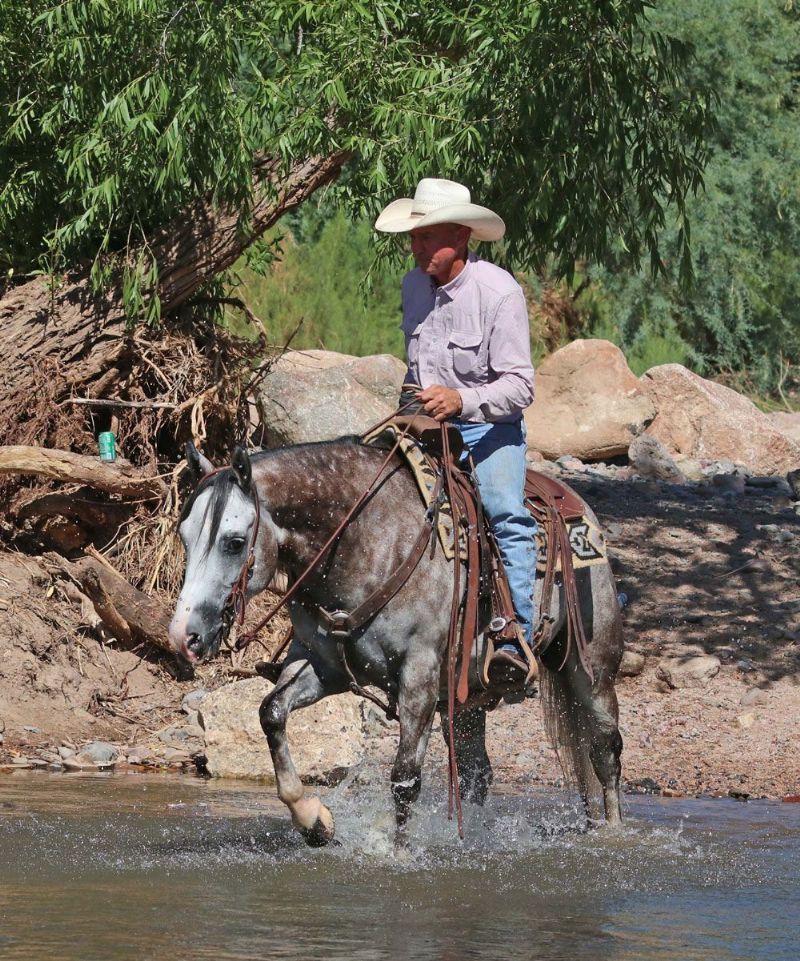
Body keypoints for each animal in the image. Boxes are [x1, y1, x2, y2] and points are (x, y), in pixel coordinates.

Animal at [168, 439, 624, 847]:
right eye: (184, 537)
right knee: (477, 772)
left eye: (234, 542)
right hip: (467, 699)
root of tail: (575, 504)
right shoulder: (324, 667)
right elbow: (271, 712)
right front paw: (314, 820)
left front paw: (400, 853)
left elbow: (405, 777)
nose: (184, 634)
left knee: (605, 750)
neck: (366, 542)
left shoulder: (418, 675)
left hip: (591, 668)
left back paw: (613, 833)